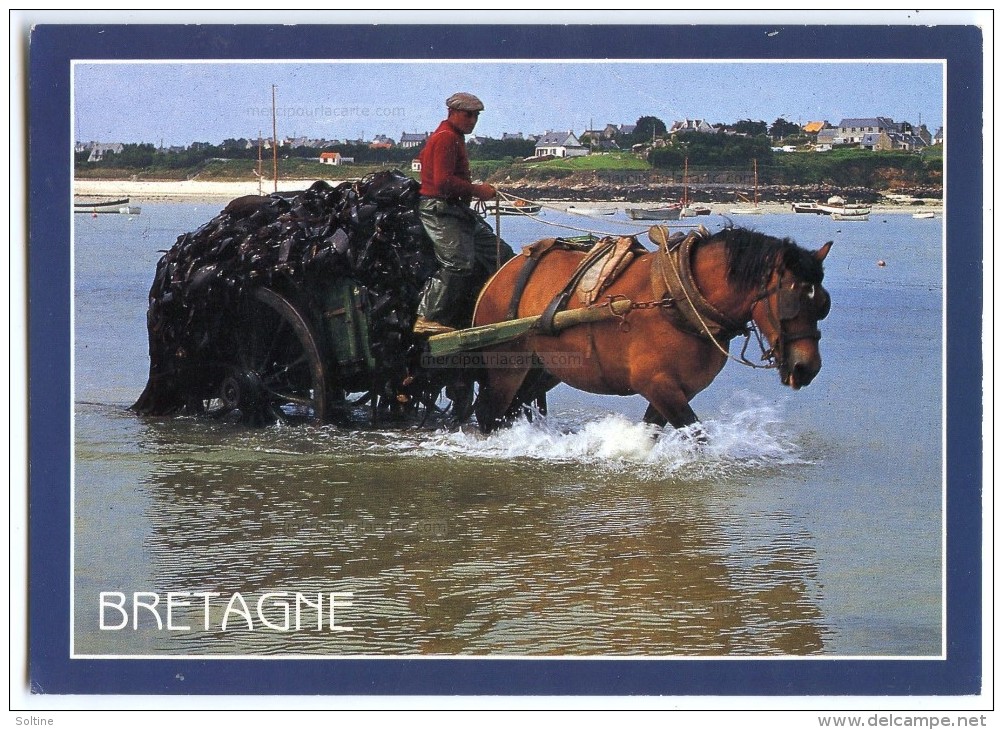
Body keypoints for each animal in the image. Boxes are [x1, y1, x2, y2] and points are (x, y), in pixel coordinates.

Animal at [469, 225, 830, 433]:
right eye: (790, 301)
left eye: (823, 304)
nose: (807, 367)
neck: (679, 295)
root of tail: (501, 272)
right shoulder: (657, 384)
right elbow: (696, 435)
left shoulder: (678, 390)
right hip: (506, 367)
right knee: (489, 415)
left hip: (542, 369)